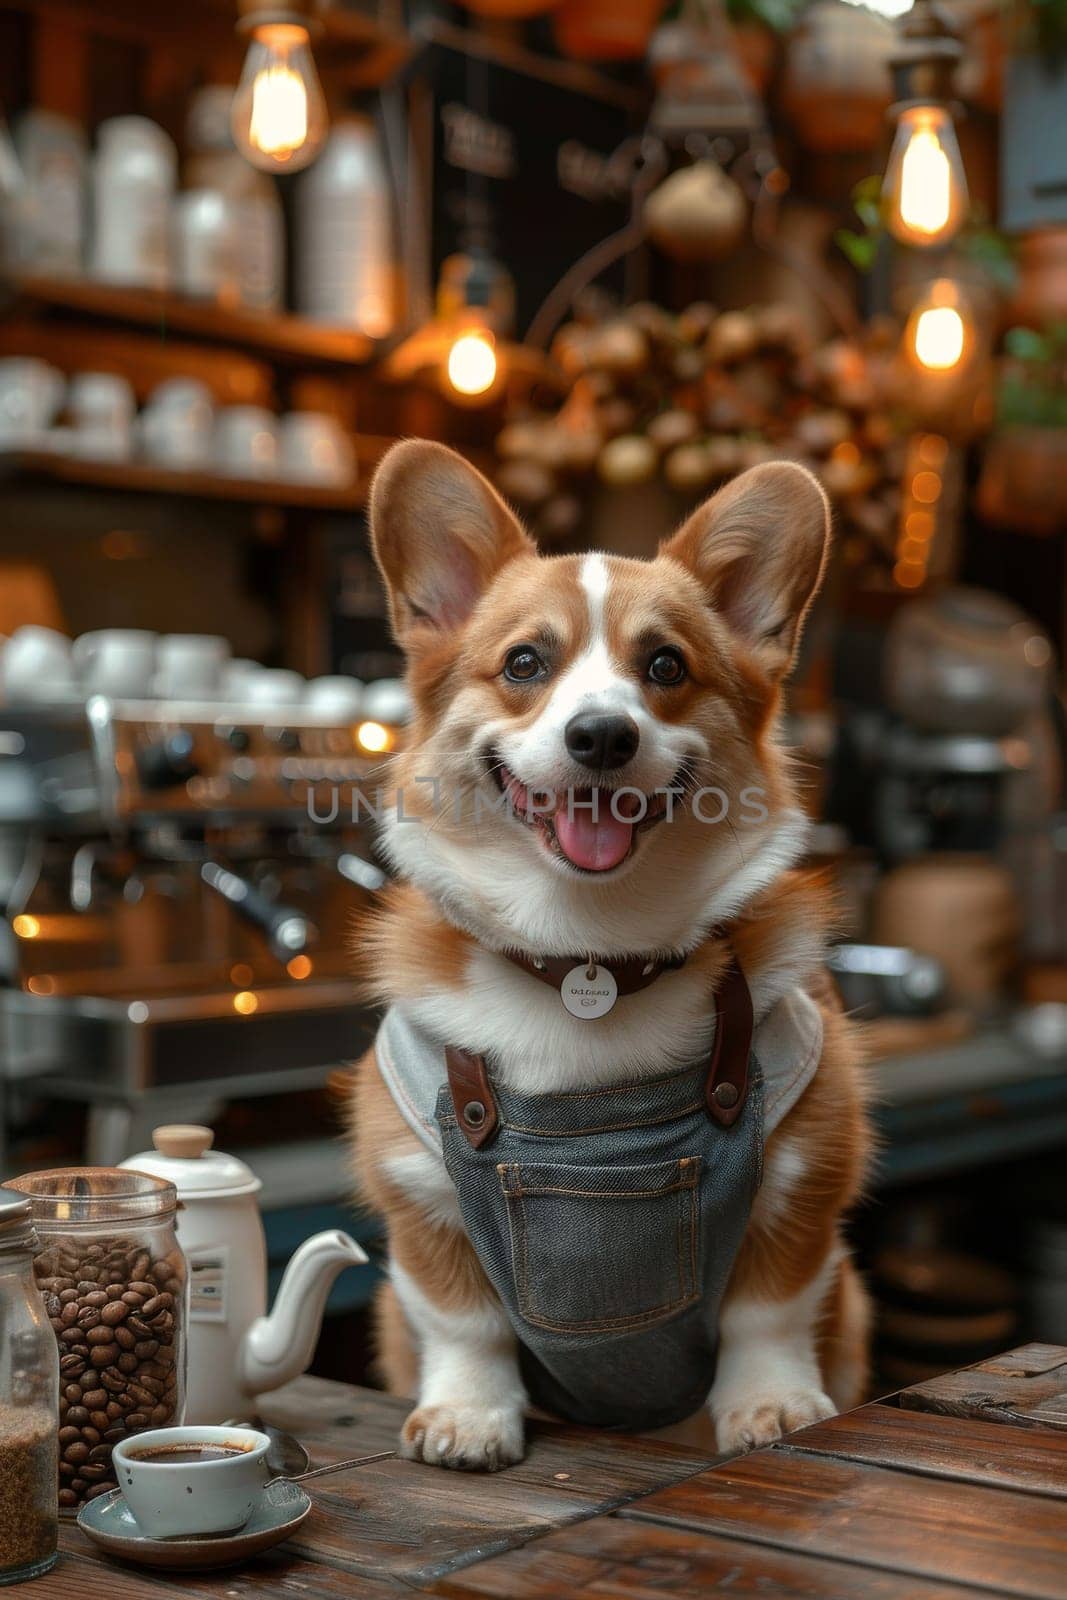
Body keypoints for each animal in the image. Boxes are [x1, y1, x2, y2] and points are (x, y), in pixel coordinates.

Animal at [348, 441, 870, 1472]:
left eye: (665, 664)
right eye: (523, 662)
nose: (600, 736)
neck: (587, 957)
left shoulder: (804, 1178)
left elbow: (768, 1313)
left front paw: (772, 1406)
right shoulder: (419, 1196)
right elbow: (462, 1323)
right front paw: (470, 1417)